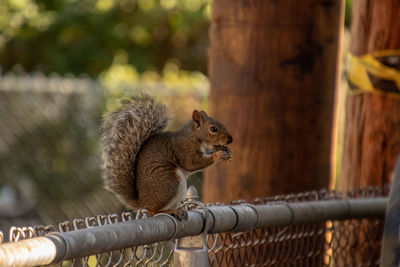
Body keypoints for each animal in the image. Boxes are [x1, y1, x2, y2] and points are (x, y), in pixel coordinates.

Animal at [100, 95, 233, 217]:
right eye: (213, 129)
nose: (230, 139)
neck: (195, 136)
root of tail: (142, 202)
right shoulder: (184, 149)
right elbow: (192, 163)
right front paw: (218, 155)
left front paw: (225, 150)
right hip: (169, 181)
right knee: (153, 211)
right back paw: (169, 211)